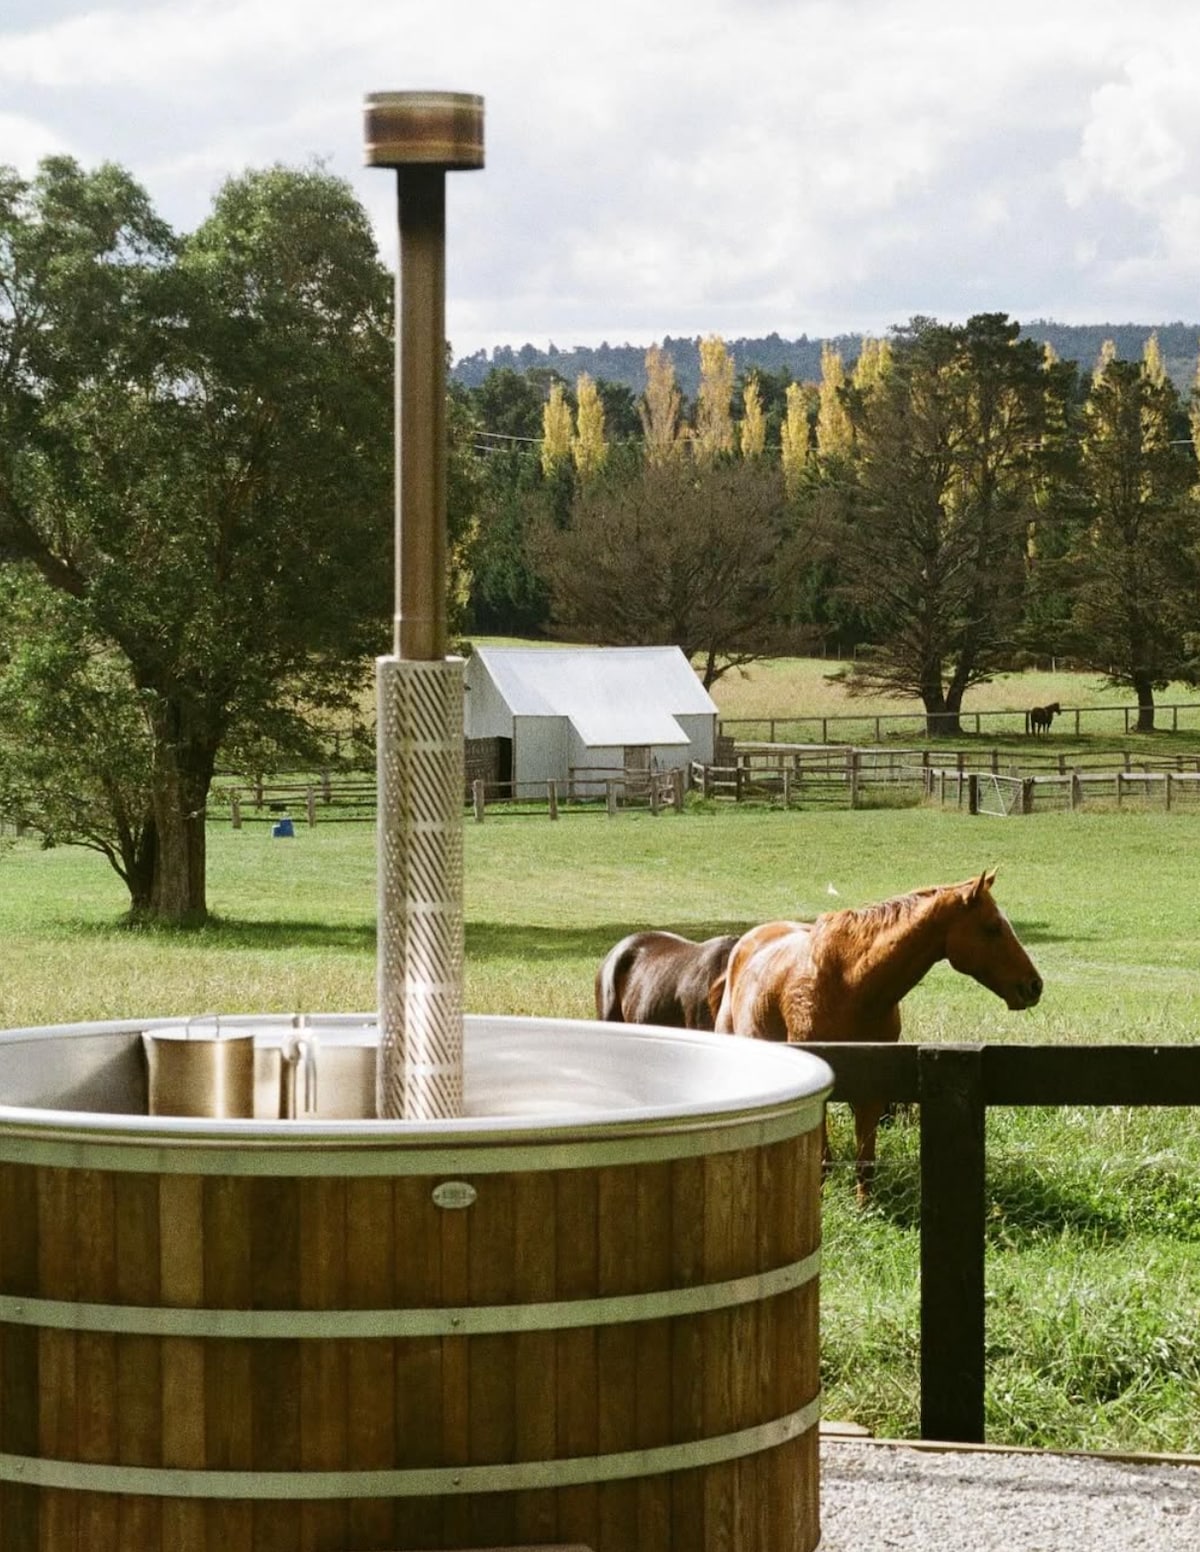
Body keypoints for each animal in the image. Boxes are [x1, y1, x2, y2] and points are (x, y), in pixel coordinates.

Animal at [709, 871, 1042, 1205]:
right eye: (993, 927)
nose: (1034, 985)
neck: (851, 985)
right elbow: (822, 1158)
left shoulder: (872, 1087)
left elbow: (865, 1161)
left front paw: (864, 1207)